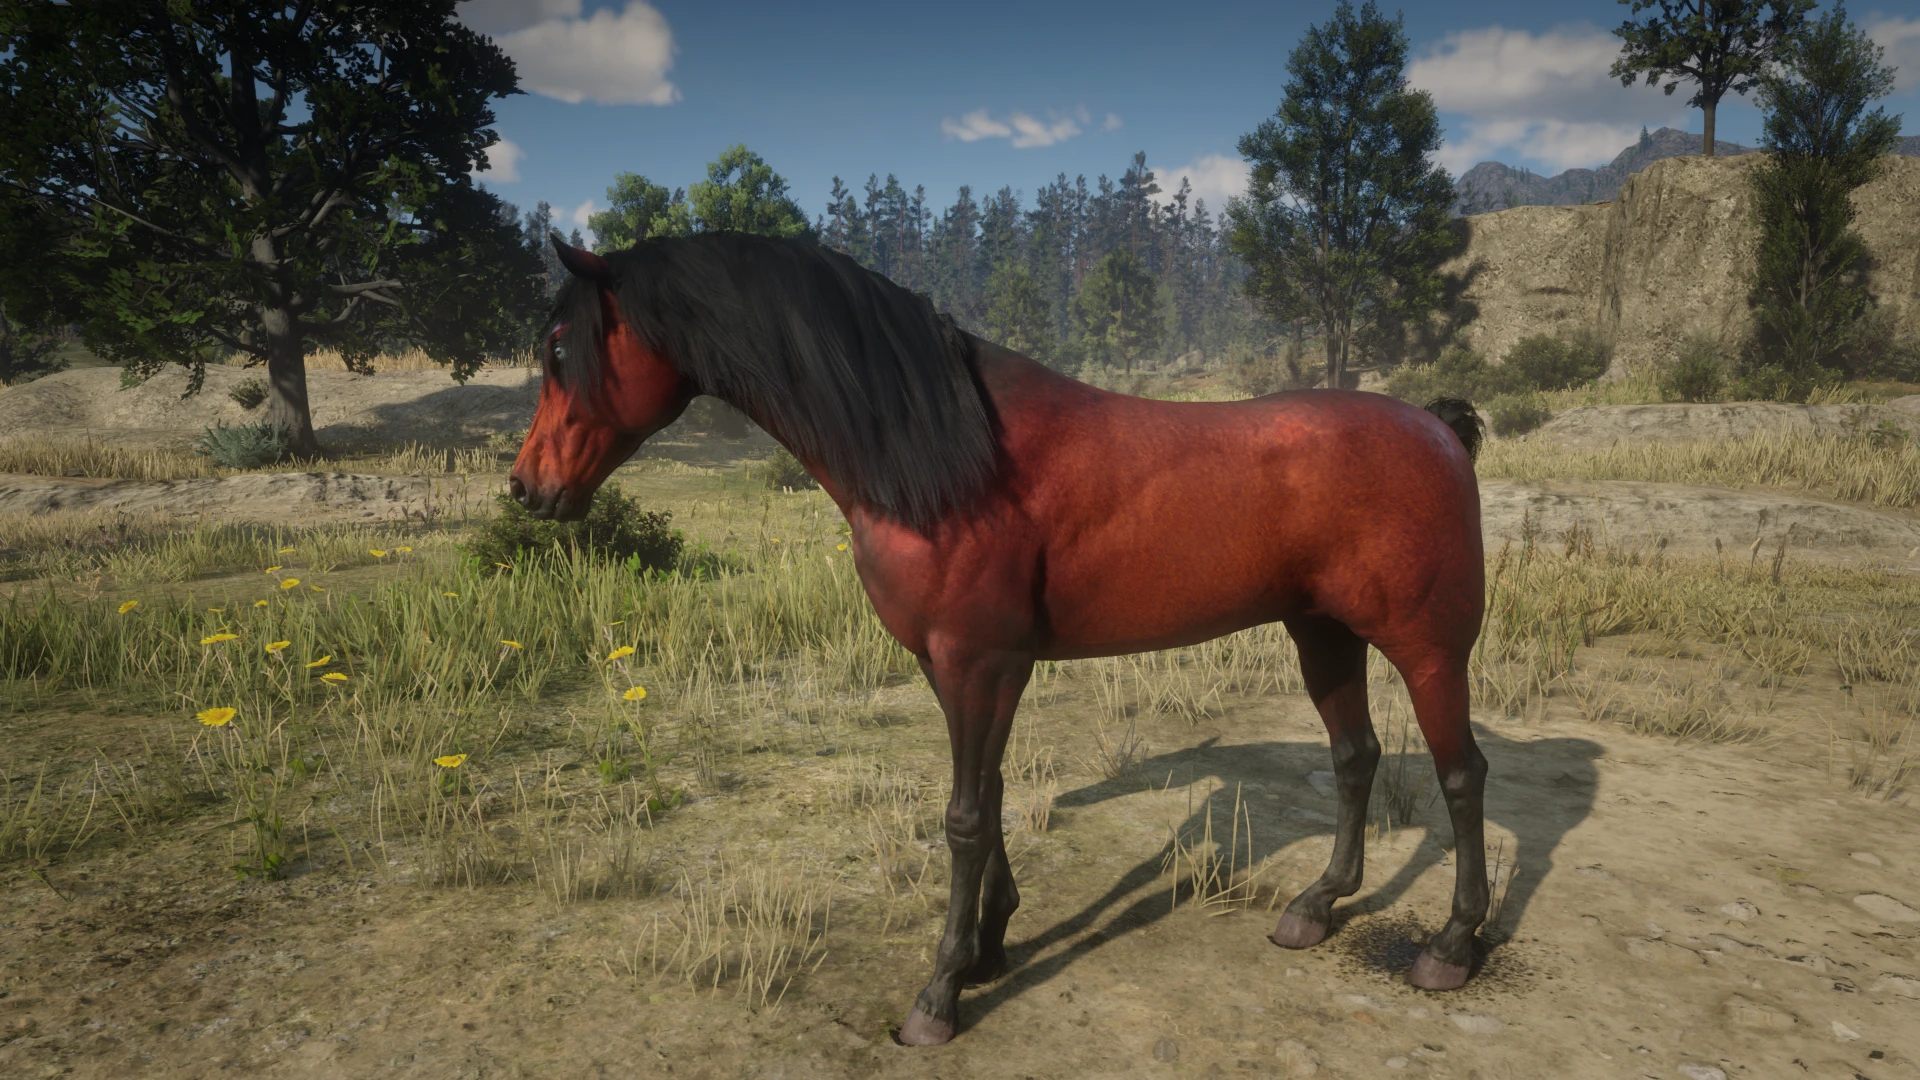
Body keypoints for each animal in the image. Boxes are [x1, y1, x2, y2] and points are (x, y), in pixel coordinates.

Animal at [511, 232, 1491, 1047]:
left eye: (560, 352)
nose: (526, 488)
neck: (951, 453)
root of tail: (1437, 427)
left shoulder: (981, 666)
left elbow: (965, 818)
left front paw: (940, 995)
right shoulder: (954, 667)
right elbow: (987, 795)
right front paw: (987, 947)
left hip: (1428, 650)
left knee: (1460, 776)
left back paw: (1452, 945)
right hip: (1322, 633)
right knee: (1355, 758)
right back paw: (1317, 907)